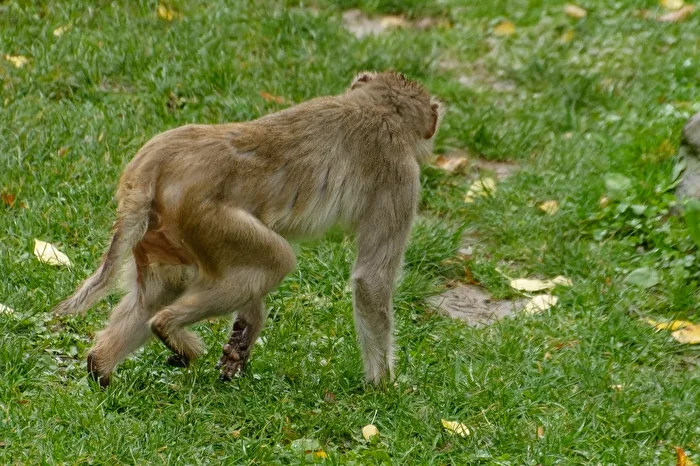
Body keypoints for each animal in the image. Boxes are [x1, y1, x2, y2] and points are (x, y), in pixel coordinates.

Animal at [51, 71, 443, 388]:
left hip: (164, 229)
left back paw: (101, 365)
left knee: (159, 290)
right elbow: (371, 281)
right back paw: (166, 327)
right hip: (208, 220)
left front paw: (246, 331)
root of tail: (154, 161)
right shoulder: (402, 177)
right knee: (276, 260)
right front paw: (384, 386)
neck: (378, 107)